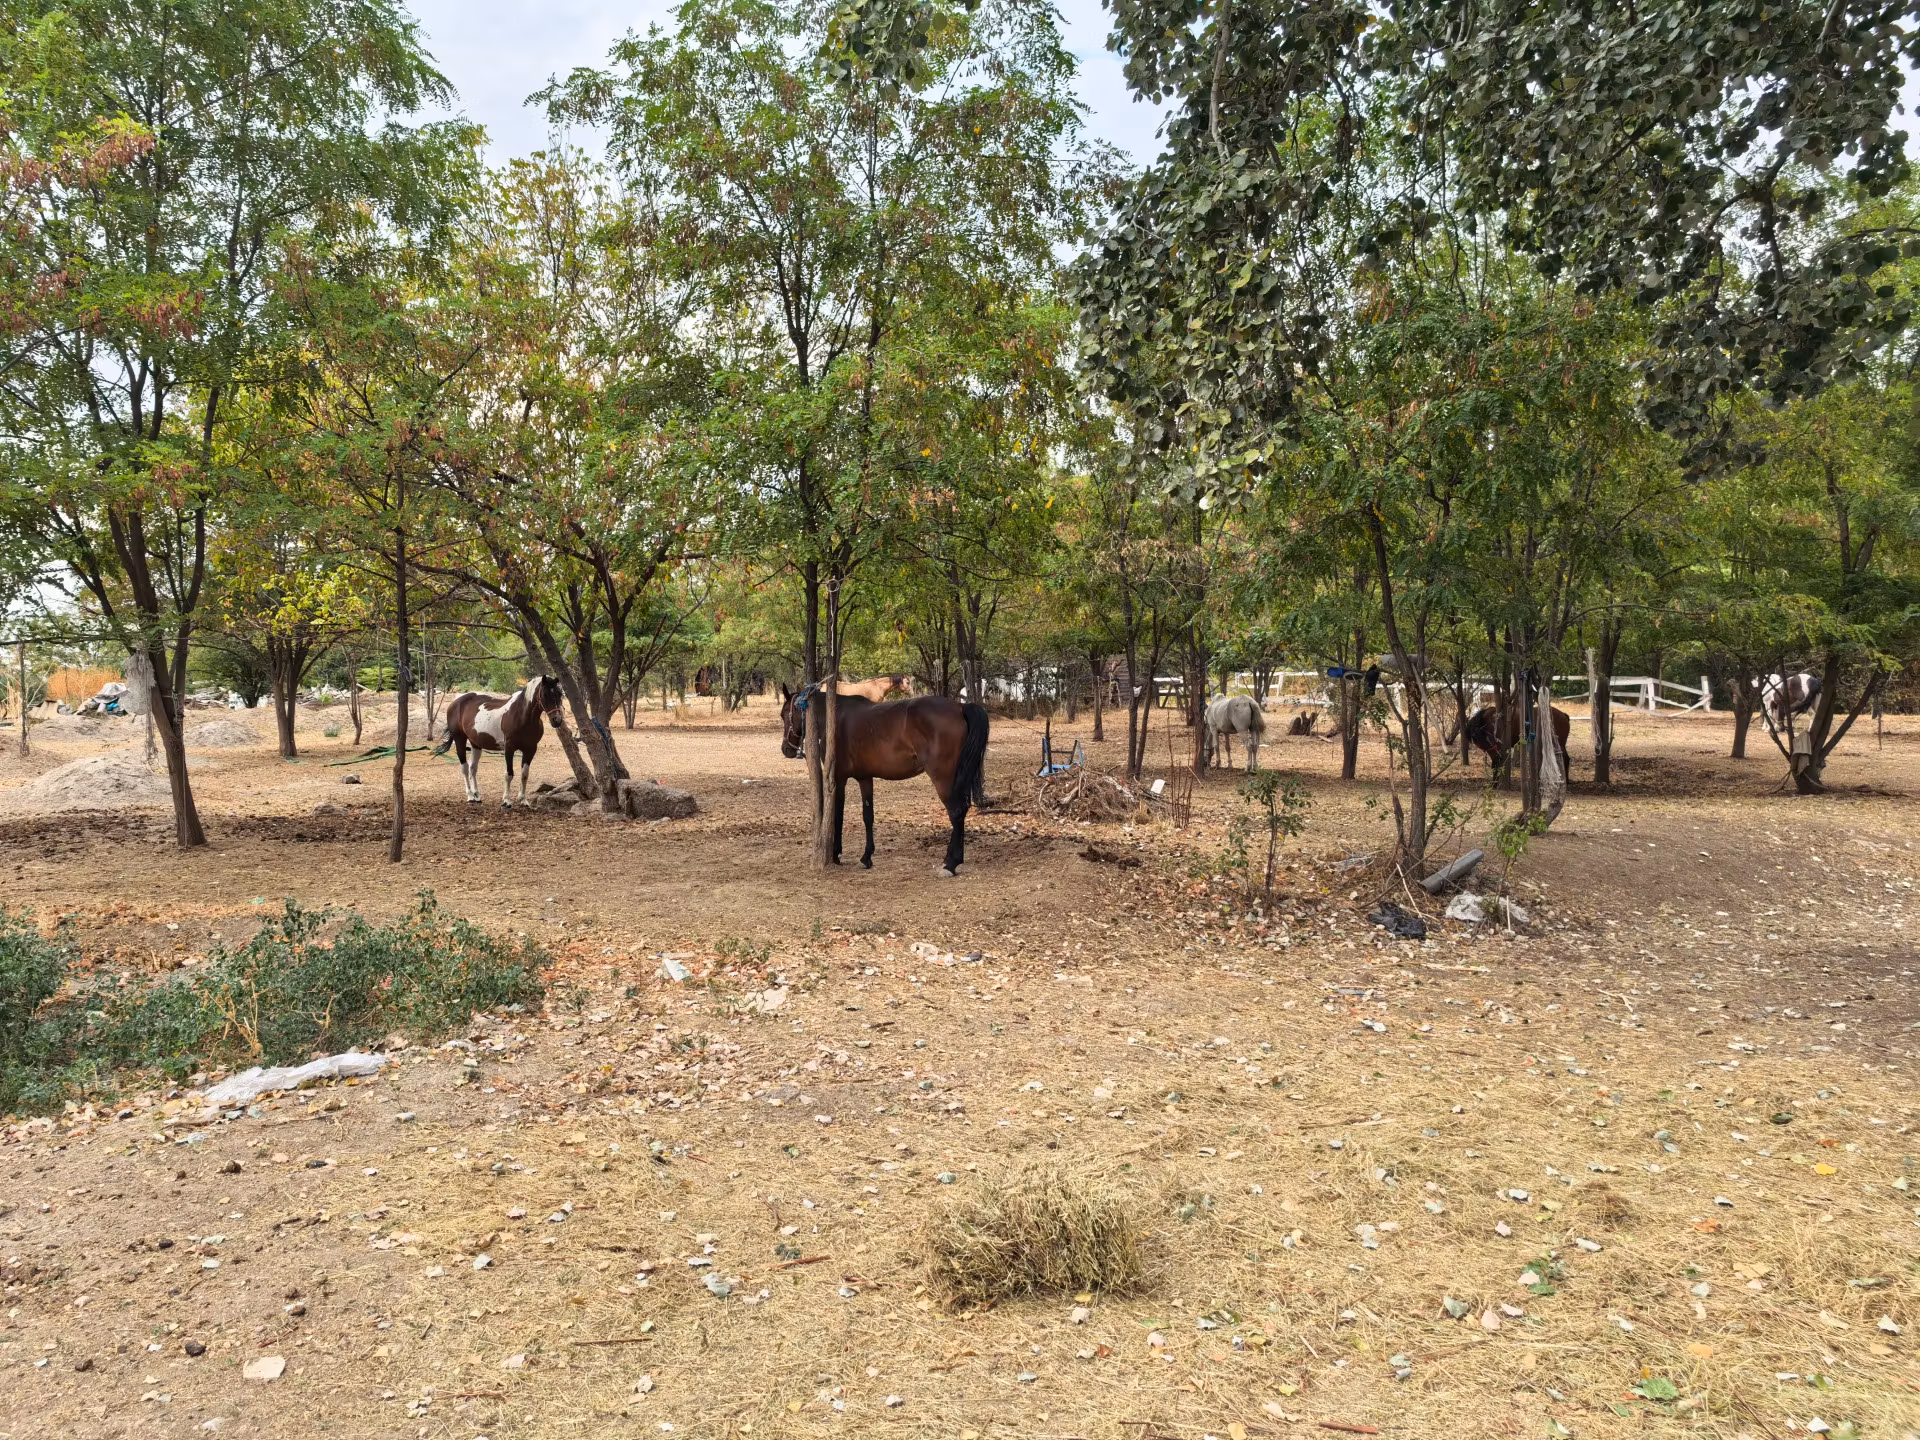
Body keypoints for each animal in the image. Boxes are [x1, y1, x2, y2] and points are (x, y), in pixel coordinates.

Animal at [438, 676, 566, 807]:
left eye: (560, 694)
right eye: (545, 694)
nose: (557, 720)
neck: (522, 716)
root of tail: (456, 702)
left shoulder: (530, 749)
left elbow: (524, 775)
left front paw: (523, 799)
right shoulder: (509, 748)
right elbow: (509, 774)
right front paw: (506, 801)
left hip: (476, 744)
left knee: (473, 768)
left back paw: (477, 796)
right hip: (460, 739)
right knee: (464, 768)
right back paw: (470, 796)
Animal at [779, 684, 989, 876]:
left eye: (784, 714)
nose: (786, 749)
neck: (835, 718)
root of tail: (960, 707)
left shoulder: (838, 778)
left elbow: (838, 815)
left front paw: (836, 854)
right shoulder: (865, 778)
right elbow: (868, 816)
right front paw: (866, 857)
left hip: (942, 777)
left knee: (956, 812)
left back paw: (951, 864)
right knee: (961, 811)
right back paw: (949, 859)